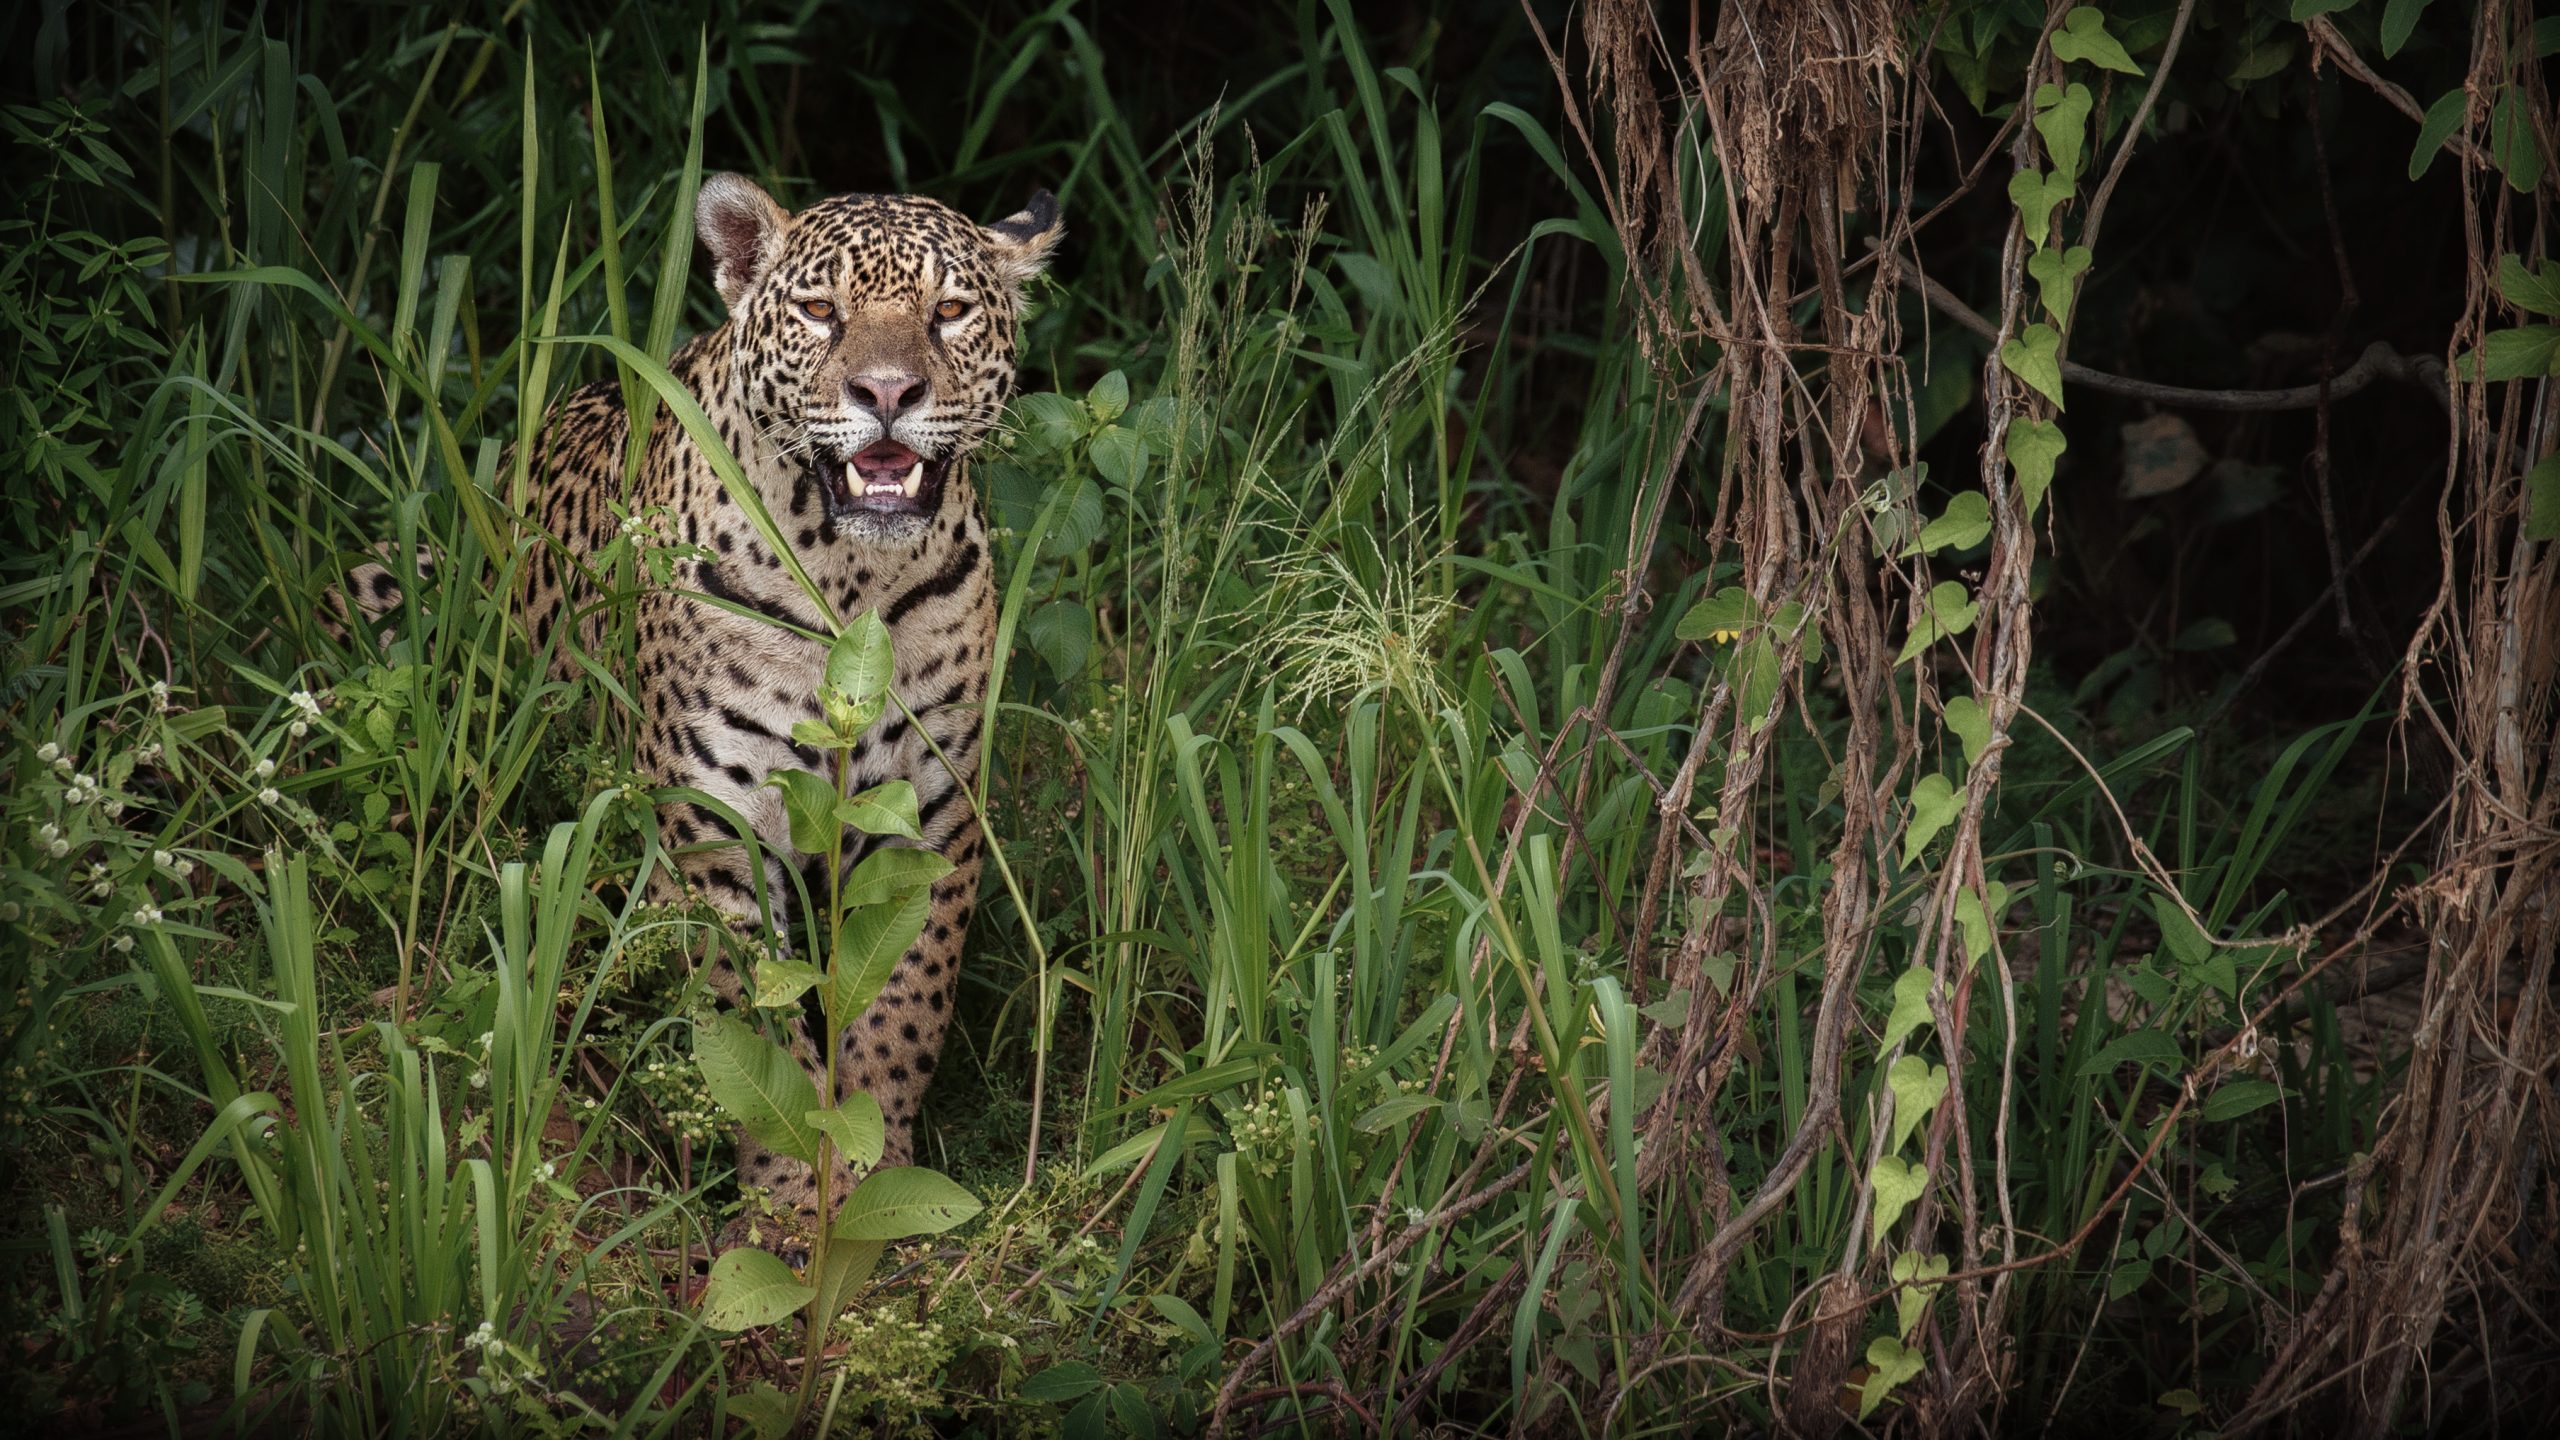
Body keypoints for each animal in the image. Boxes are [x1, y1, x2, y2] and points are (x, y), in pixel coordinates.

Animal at [343, 174, 1062, 1256]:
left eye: (948, 313)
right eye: (821, 312)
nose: (888, 394)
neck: (852, 582)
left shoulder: (929, 816)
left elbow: (902, 1008)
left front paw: (872, 1180)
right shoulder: (716, 823)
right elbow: (753, 1030)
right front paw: (791, 1200)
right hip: (385, 581)